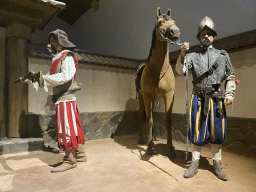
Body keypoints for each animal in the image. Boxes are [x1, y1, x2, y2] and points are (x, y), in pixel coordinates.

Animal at [136, 7, 180, 158]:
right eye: (160, 22)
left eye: (174, 21)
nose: (175, 32)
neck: (158, 71)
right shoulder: (147, 95)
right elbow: (149, 119)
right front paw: (149, 148)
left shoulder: (169, 95)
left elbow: (168, 120)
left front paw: (170, 149)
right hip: (142, 97)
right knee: (142, 115)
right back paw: (141, 139)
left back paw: (153, 137)